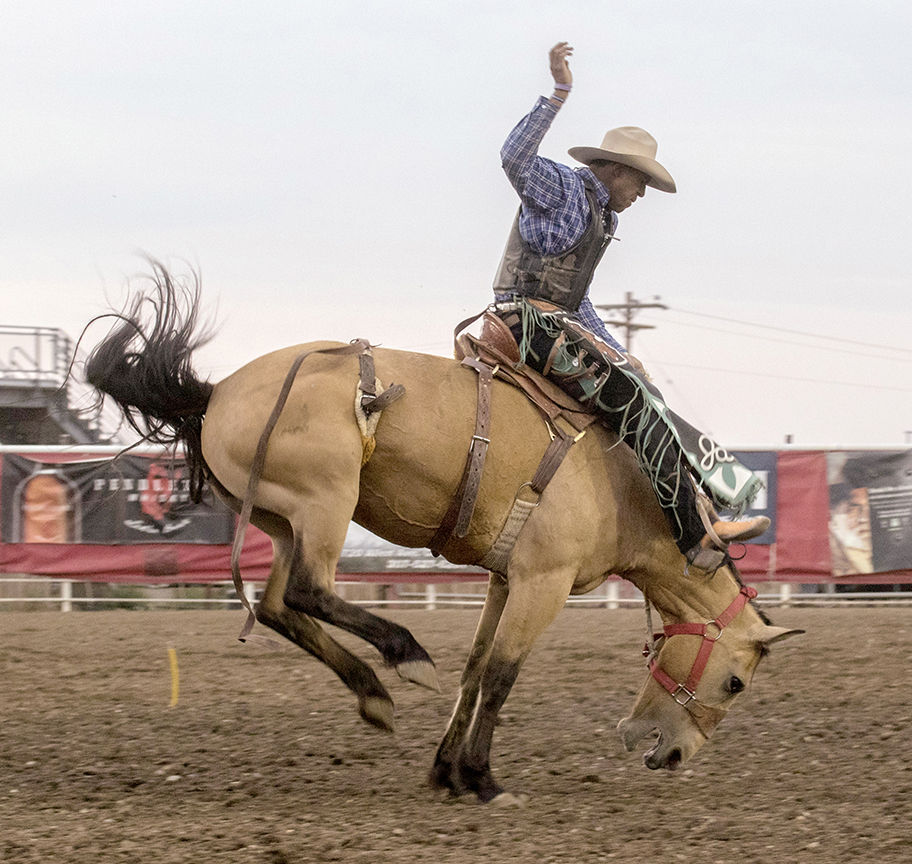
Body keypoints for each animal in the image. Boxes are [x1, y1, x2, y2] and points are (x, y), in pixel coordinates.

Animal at [83, 264, 800, 804]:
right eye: (735, 684)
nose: (674, 755)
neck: (626, 491)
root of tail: (215, 392)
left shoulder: (504, 577)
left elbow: (476, 669)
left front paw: (446, 772)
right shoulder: (544, 581)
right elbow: (503, 675)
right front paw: (482, 779)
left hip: (282, 519)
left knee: (279, 605)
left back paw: (374, 696)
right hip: (324, 503)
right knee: (310, 592)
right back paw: (405, 656)